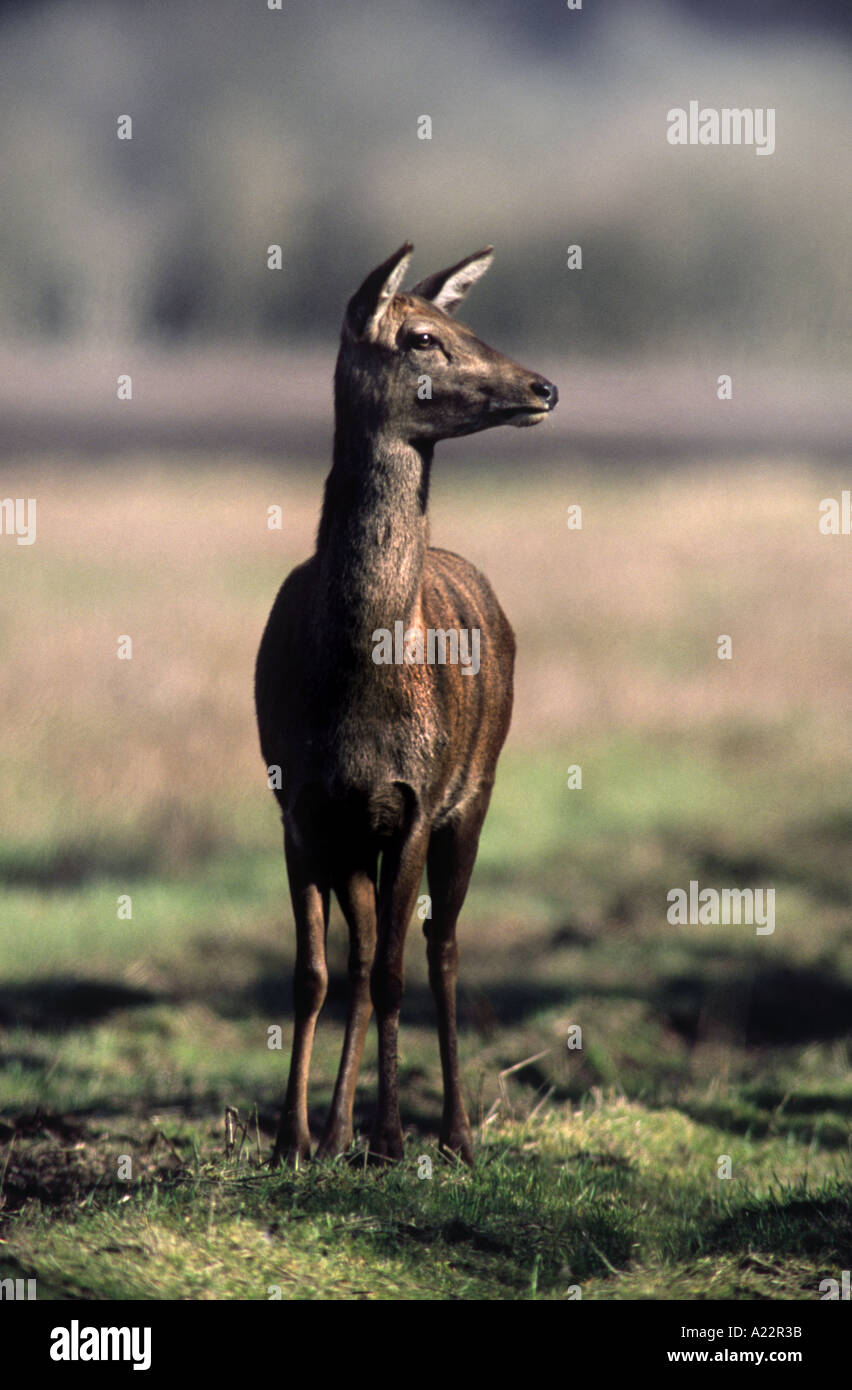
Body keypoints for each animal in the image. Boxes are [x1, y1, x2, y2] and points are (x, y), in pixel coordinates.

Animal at [252, 241, 558, 1162]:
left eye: (462, 321)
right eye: (421, 336)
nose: (543, 387)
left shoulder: (417, 798)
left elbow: (390, 970)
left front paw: (388, 1135)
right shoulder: (302, 807)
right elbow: (315, 973)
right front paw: (298, 1138)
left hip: (477, 788)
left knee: (440, 947)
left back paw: (453, 1131)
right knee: (363, 955)